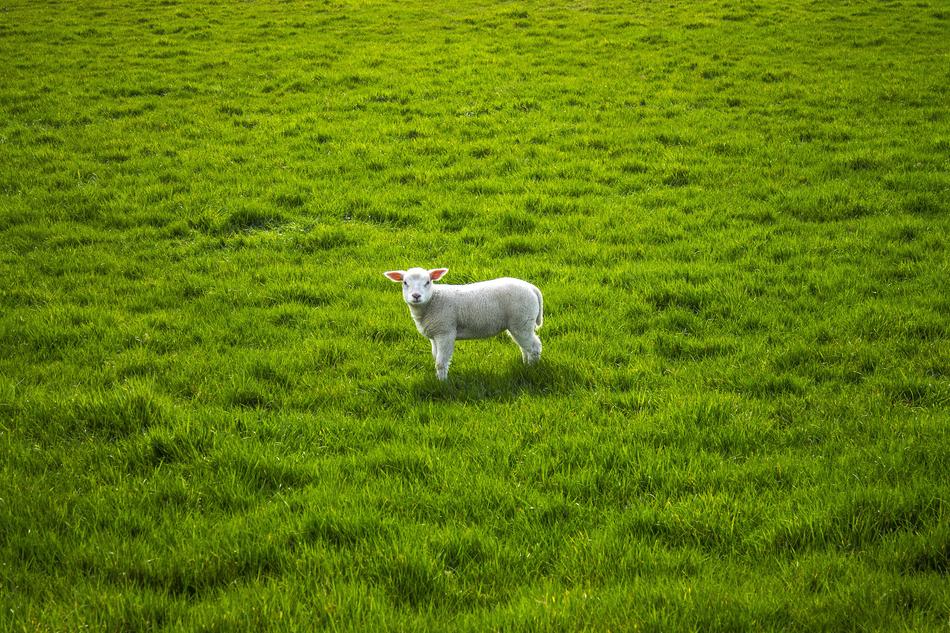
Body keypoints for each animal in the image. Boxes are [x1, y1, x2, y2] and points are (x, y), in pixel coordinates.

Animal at [383, 267, 543, 381]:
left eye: (427, 282)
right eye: (405, 283)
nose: (416, 296)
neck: (432, 301)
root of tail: (532, 288)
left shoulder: (445, 332)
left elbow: (441, 362)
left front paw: (442, 383)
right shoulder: (434, 335)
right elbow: (436, 356)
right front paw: (438, 379)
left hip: (522, 320)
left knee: (534, 347)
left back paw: (532, 369)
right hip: (519, 324)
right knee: (525, 347)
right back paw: (526, 365)